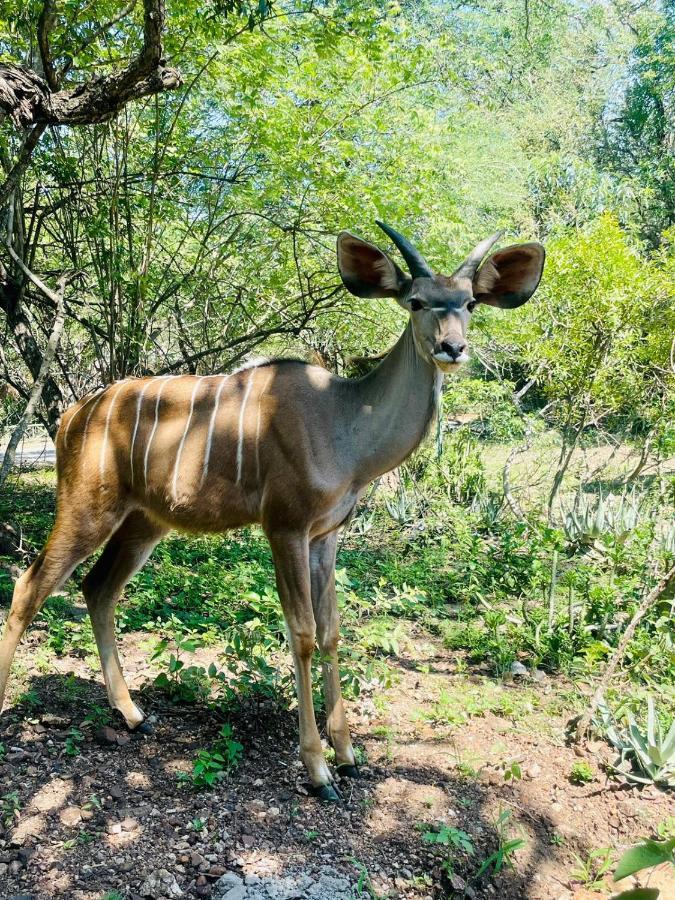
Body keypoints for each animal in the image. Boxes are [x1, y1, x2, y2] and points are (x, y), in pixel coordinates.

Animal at [0, 221, 544, 800]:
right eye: (416, 301)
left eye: (470, 303)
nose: (452, 347)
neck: (344, 424)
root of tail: (71, 417)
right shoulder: (285, 526)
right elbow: (301, 634)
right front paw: (318, 770)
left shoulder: (326, 536)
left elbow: (331, 631)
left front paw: (349, 756)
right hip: (87, 507)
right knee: (30, 585)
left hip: (144, 522)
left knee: (98, 589)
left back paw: (133, 715)